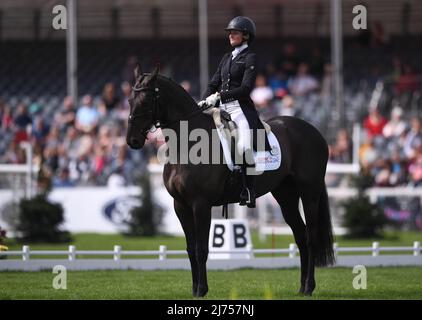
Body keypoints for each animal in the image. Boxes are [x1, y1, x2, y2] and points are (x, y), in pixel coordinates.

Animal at [127, 65, 334, 298]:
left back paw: (308, 286)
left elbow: (201, 249)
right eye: (129, 100)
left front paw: (201, 290)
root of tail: (314, 131)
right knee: (300, 236)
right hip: (286, 196)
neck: (187, 144)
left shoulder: (201, 204)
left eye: (146, 100)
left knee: (310, 237)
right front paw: (195, 289)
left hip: (309, 194)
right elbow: (190, 249)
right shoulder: (180, 205)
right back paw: (301, 288)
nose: (132, 140)